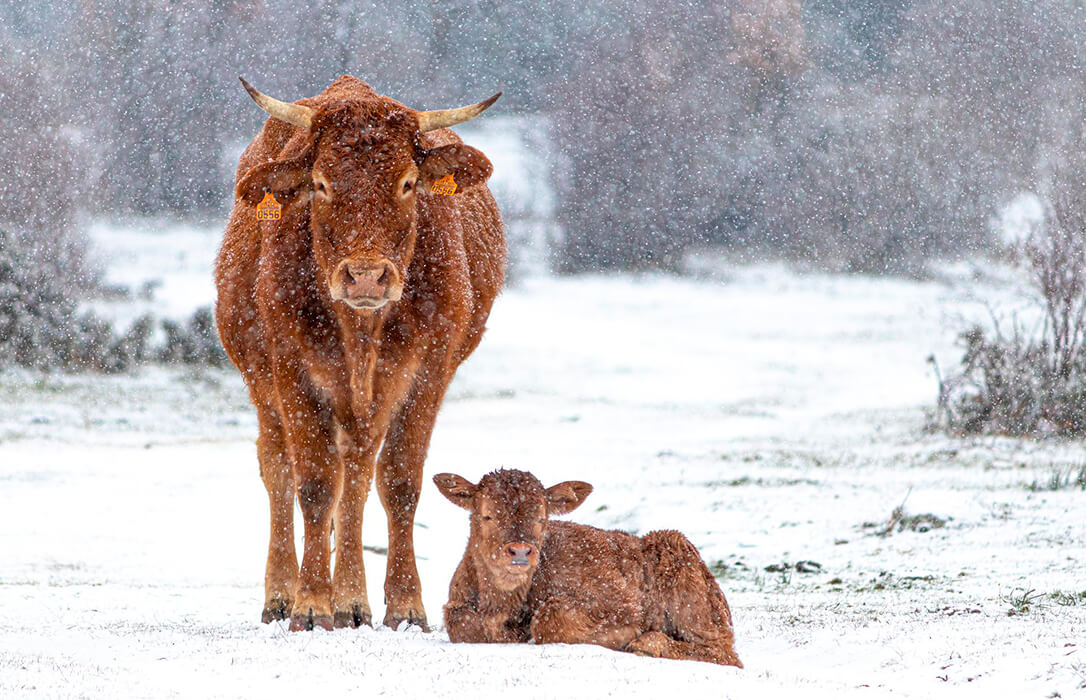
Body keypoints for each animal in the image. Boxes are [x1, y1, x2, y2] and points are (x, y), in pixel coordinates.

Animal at [436, 466, 742, 664]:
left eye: (542, 517)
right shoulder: (456, 604)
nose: (520, 552)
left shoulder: (622, 603)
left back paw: (647, 645)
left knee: (724, 652)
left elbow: (548, 617)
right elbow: (461, 622)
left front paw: (627, 636)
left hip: (684, 572)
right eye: (486, 515)